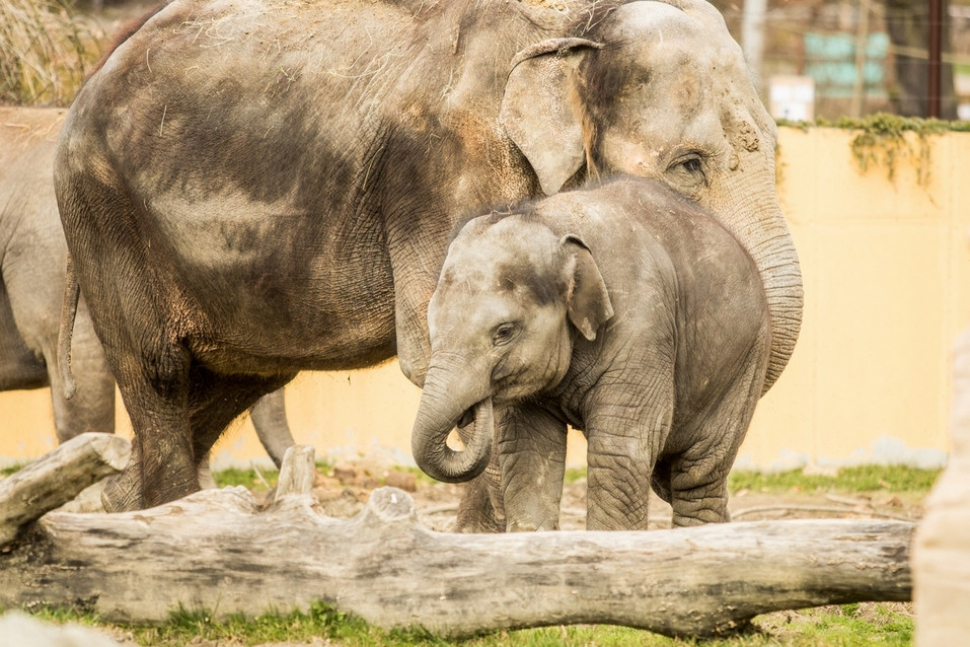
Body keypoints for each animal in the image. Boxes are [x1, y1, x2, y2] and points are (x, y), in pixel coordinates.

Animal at [408, 177, 772, 532]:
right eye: (431, 324)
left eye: (504, 332)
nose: (474, 406)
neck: (549, 221)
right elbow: (528, 449)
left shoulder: (642, 326)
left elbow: (618, 449)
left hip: (744, 364)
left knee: (697, 474)